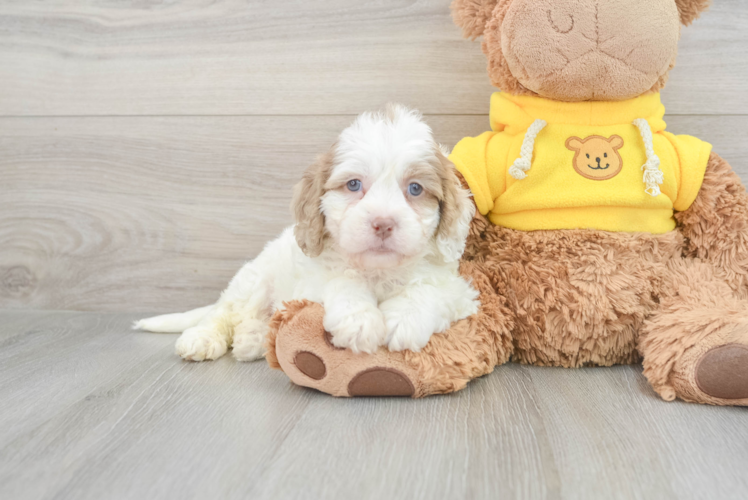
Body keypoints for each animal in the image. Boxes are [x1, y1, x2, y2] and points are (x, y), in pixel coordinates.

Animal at [135, 105, 480, 362]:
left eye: (415, 189)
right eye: (353, 184)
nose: (383, 223)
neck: (379, 272)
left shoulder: (459, 290)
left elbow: (428, 291)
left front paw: (405, 320)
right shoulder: (313, 282)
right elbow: (343, 281)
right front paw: (359, 321)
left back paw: (253, 339)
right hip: (252, 281)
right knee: (224, 312)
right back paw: (203, 338)